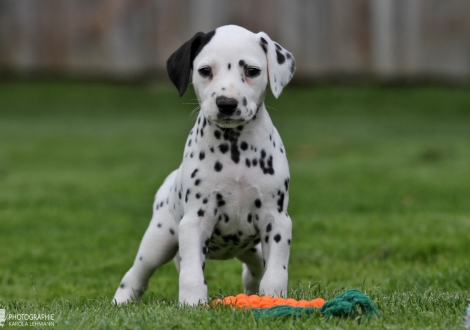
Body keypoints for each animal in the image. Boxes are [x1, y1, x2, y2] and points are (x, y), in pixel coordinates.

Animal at [114, 24, 296, 306]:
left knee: (254, 269)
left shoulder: (276, 221)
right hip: (159, 240)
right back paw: (122, 300)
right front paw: (192, 304)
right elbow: (191, 274)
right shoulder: (194, 222)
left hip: (251, 247)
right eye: (205, 70)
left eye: (252, 71)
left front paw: (272, 299)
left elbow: (275, 273)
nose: (227, 103)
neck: (235, 149)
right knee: (137, 273)